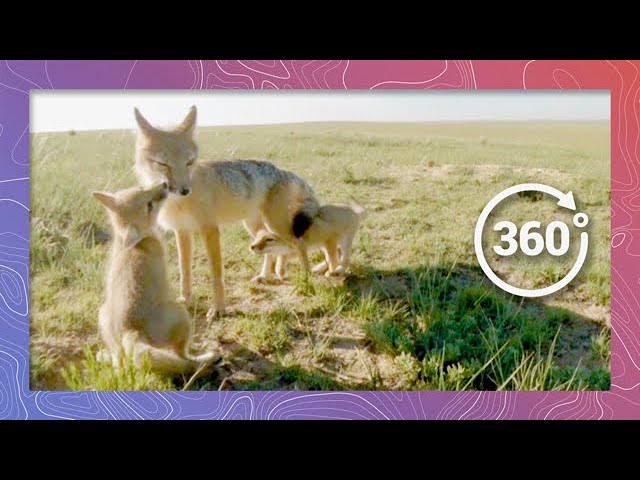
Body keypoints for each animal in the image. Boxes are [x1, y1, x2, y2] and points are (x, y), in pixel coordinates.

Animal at [92, 182, 218, 375]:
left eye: (140, 188)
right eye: (149, 206)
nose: (164, 184)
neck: (134, 244)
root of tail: (131, 330)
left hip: (104, 318)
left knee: (120, 362)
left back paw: (105, 357)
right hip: (181, 315)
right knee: (183, 357)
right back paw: (204, 355)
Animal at [133, 106, 320, 319]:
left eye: (189, 162)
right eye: (163, 164)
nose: (185, 190)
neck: (177, 202)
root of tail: (281, 170)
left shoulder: (210, 229)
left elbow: (216, 274)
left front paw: (219, 309)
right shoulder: (182, 231)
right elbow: (184, 270)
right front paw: (185, 299)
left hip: (277, 226)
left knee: (300, 244)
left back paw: (306, 280)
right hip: (256, 227)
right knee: (271, 250)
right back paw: (265, 275)